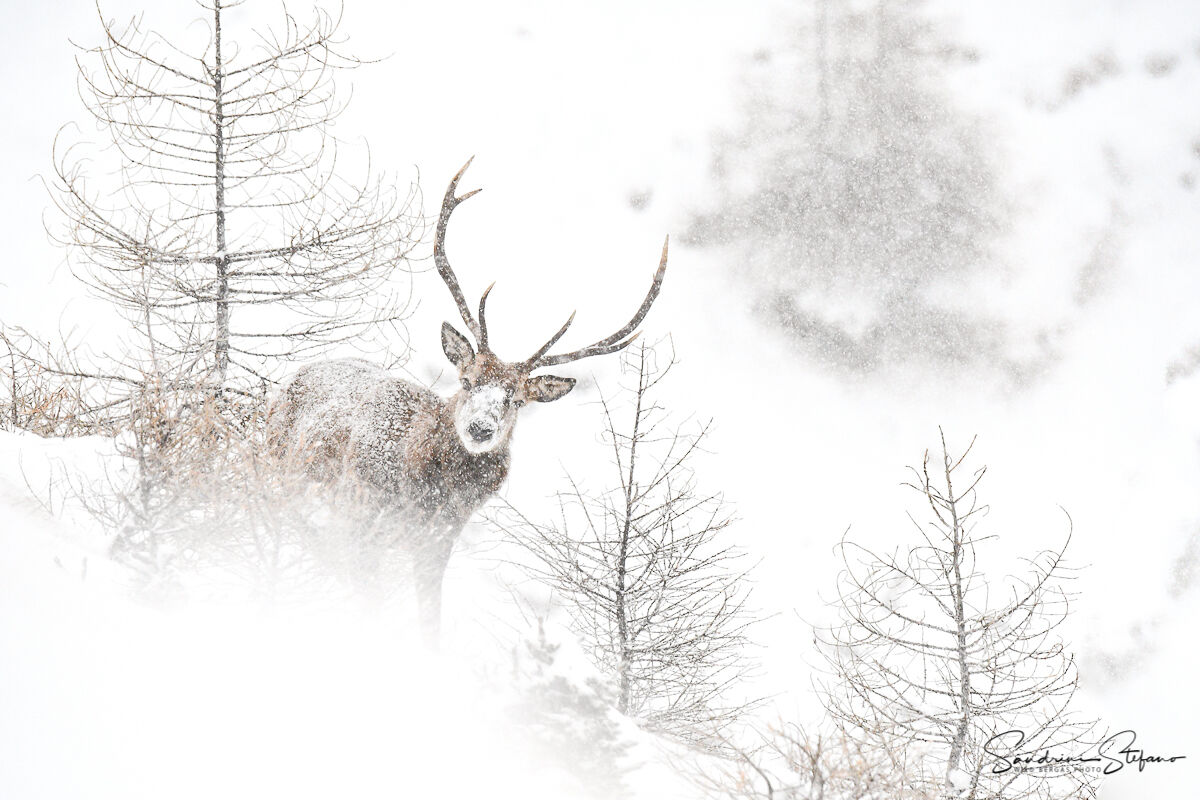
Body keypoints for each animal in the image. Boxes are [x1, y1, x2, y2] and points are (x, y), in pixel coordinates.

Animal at [266, 159, 668, 643]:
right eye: (467, 379)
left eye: (517, 399)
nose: (480, 427)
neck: (425, 492)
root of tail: (290, 381)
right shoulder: (358, 517)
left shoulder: (437, 544)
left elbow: (430, 623)